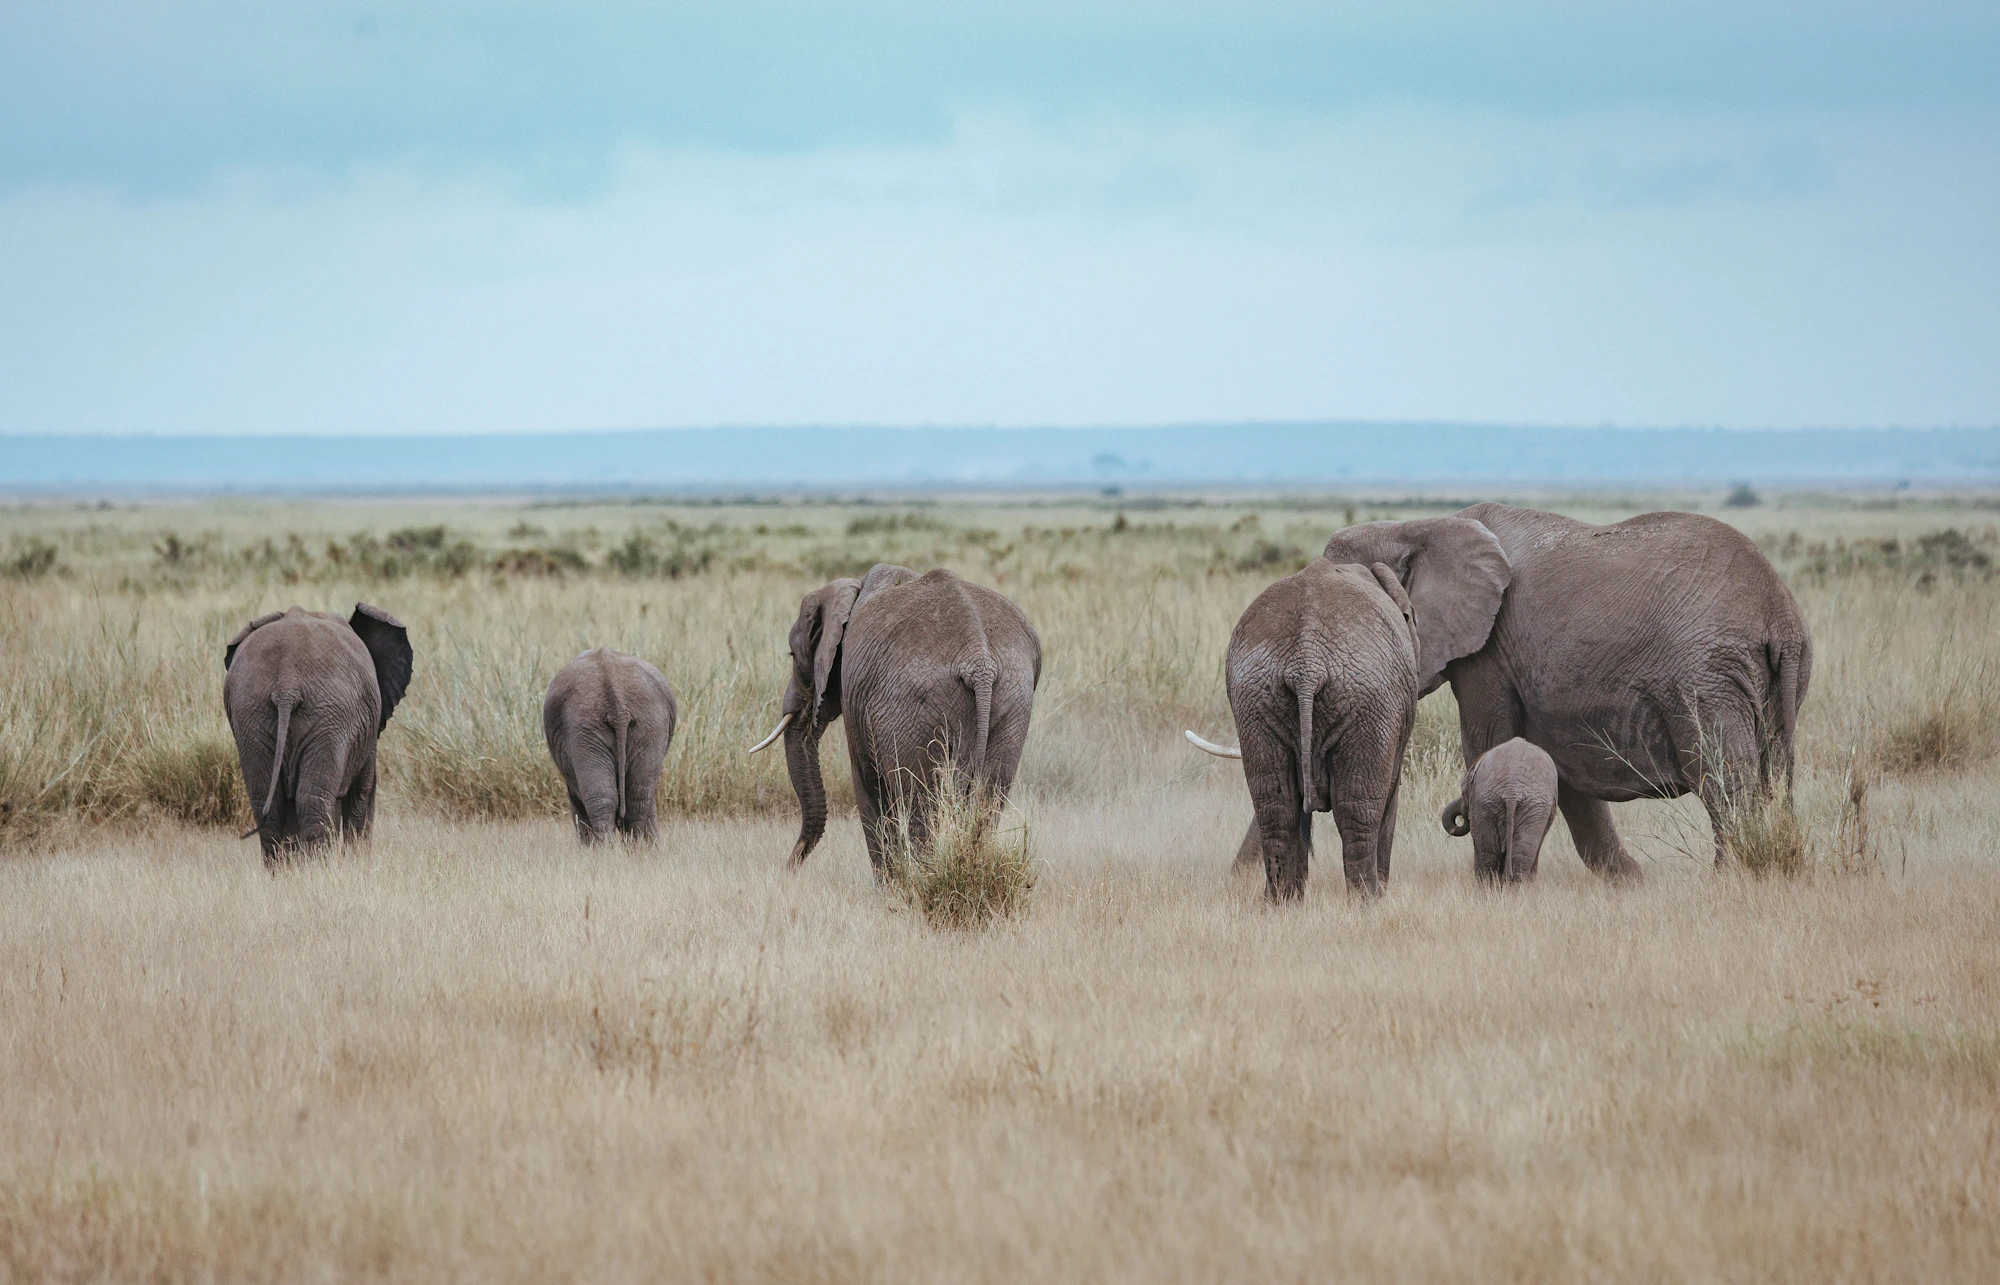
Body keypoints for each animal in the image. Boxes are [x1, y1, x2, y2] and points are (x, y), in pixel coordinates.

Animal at [223, 604, 413, 866]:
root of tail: (286, 685)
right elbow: (362, 792)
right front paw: (357, 863)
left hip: (252, 715)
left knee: (270, 804)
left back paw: (284, 872)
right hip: (329, 717)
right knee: (315, 799)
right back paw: (321, 868)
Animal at [543, 648, 678, 843]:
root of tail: (618, 704)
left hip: (586, 726)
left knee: (604, 800)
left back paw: (606, 850)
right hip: (649, 723)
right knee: (637, 797)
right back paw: (633, 848)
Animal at [746, 563, 1041, 872]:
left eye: (792, 654)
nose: (788, 869)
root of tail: (979, 662)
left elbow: (866, 781)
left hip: (913, 712)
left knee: (921, 806)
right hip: (1012, 703)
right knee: (987, 800)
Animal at [1184, 557, 1421, 900]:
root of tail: (1306, 662)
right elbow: (1390, 793)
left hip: (1257, 700)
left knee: (1277, 809)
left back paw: (1280, 904)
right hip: (1370, 702)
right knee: (1358, 811)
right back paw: (1367, 903)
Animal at [1441, 737, 1559, 883]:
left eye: (1463, 793)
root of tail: (1512, 791)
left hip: (1514, 805)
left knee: (1491, 855)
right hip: (1500, 803)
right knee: (1502, 857)